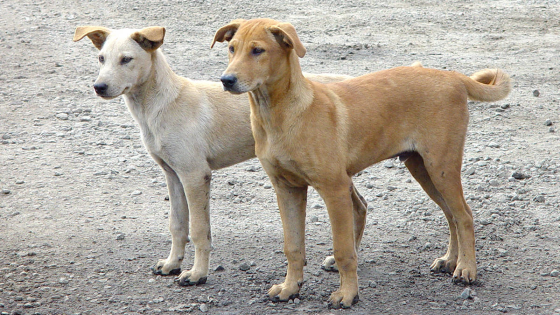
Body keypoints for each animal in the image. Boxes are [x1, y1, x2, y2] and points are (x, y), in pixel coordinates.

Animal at [73, 26, 354, 288]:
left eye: (126, 59)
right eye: (101, 58)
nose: (99, 87)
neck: (162, 104)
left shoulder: (195, 175)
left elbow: (198, 230)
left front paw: (197, 274)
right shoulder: (173, 175)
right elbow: (177, 225)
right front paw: (172, 264)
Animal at [213, 17, 512, 308]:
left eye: (258, 50)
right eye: (232, 48)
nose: (226, 80)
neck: (280, 113)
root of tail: (453, 76)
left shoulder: (334, 189)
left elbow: (343, 250)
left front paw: (347, 295)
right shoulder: (286, 189)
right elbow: (293, 247)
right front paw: (289, 288)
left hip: (442, 166)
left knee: (464, 215)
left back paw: (466, 269)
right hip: (422, 168)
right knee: (451, 215)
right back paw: (450, 260)